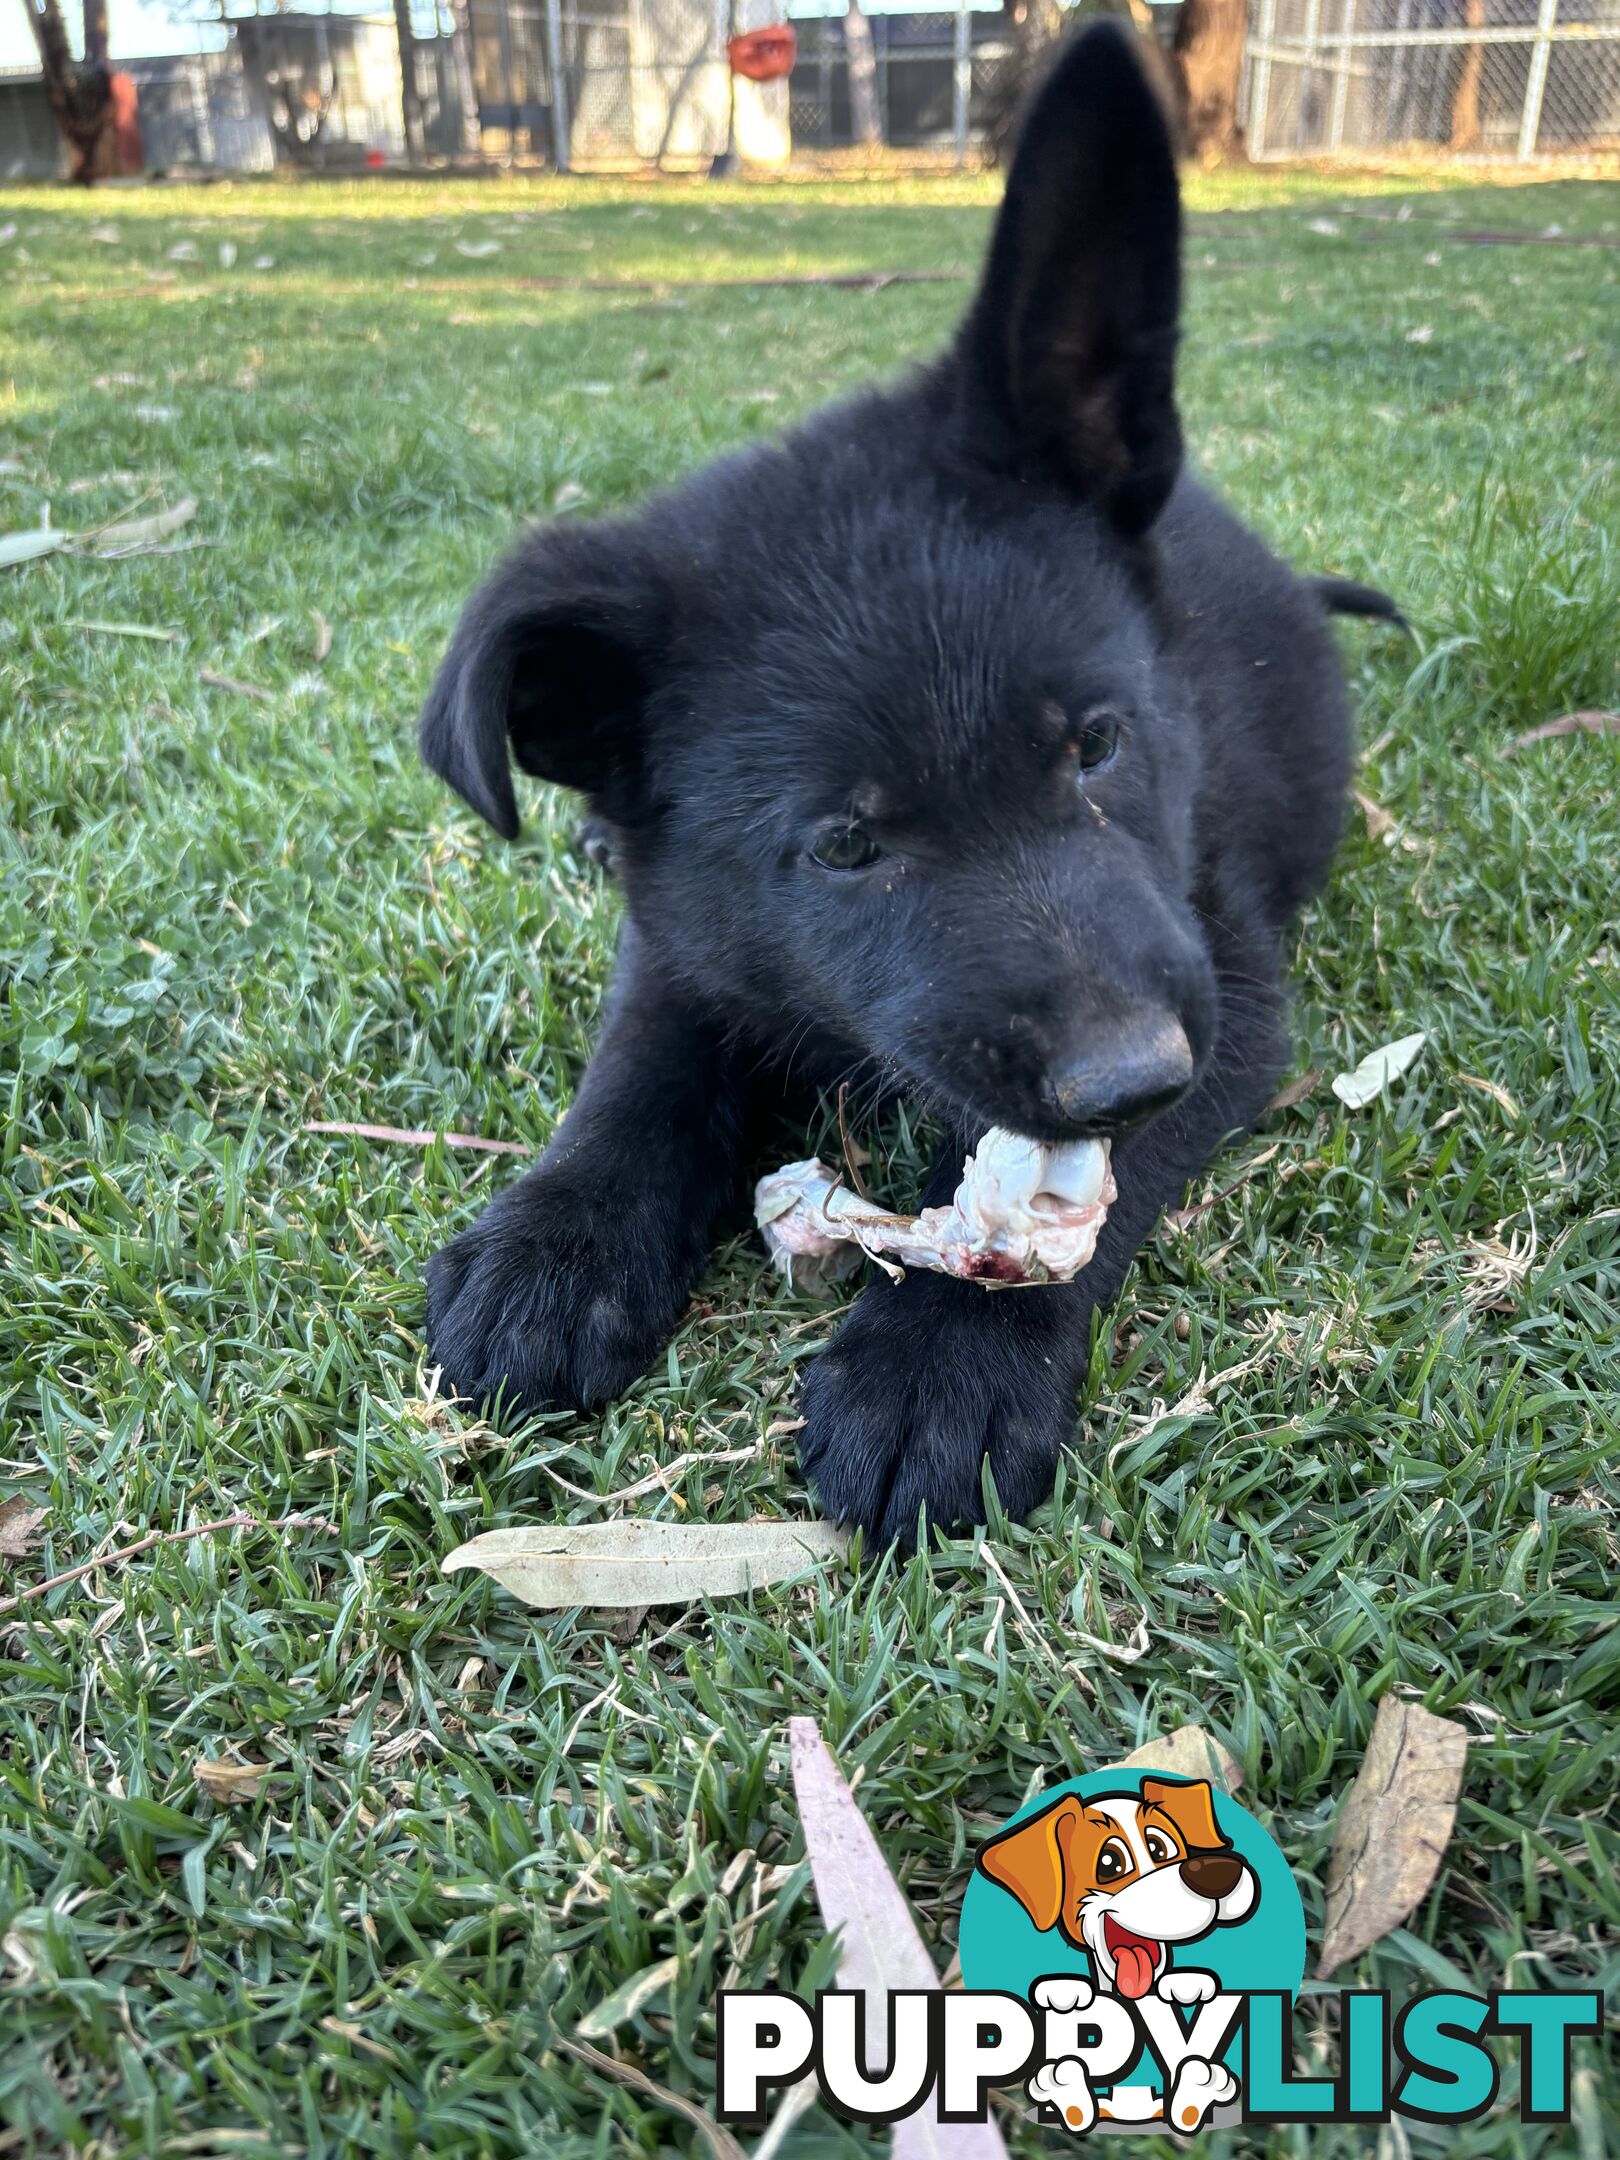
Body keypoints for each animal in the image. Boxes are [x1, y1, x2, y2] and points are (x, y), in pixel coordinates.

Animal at [412, 16, 1391, 1537]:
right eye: (844, 848)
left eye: (1097, 744)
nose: (1129, 1074)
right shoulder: (682, 935)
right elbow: (637, 1067)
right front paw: (554, 1244)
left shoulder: (1226, 981)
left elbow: (1080, 1193)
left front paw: (944, 1355)